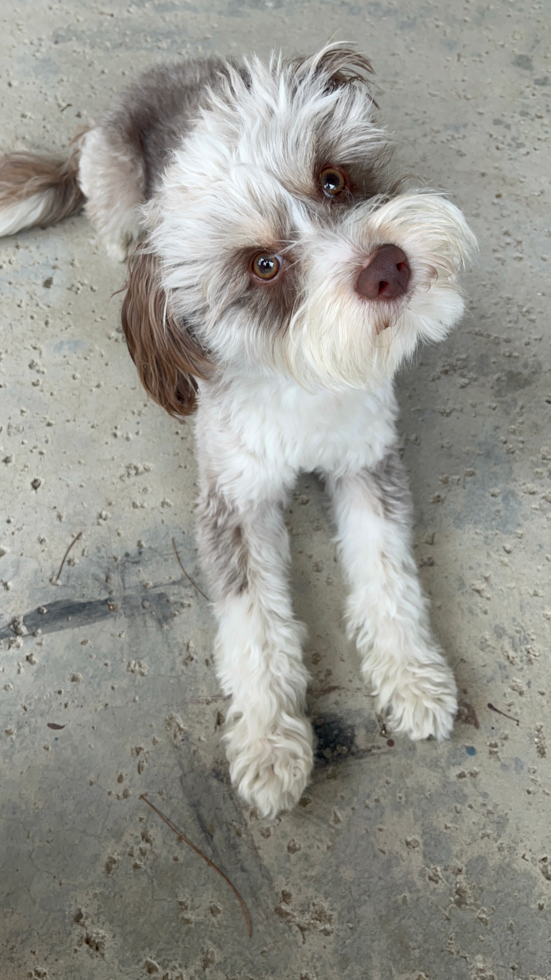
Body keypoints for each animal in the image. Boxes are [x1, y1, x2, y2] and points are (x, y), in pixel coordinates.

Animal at [0, 46, 476, 816]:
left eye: (333, 180)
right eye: (264, 264)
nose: (389, 266)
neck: (302, 374)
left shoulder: (366, 465)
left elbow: (386, 572)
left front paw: (411, 675)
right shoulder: (233, 500)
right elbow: (253, 624)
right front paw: (268, 743)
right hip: (111, 180)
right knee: (114, 225)